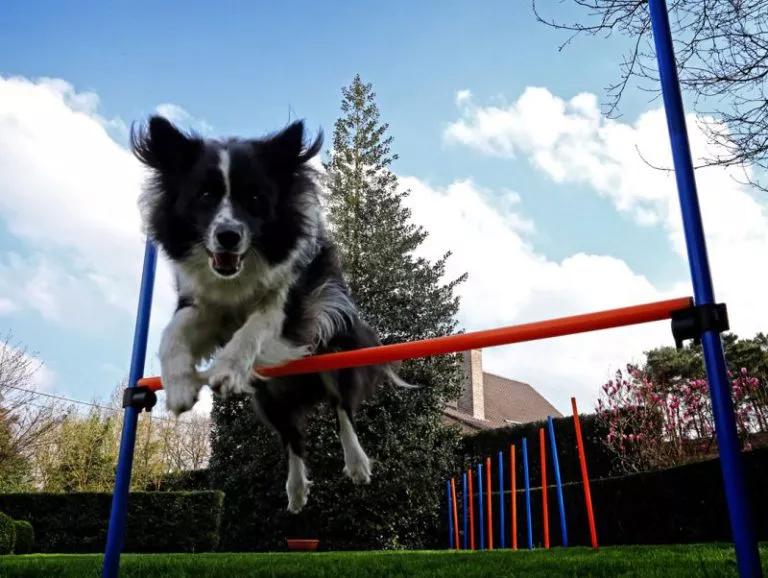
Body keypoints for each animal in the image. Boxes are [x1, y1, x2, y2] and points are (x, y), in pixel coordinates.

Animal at [134, 115, 420, 510]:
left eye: (255, 198)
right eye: (204, 195)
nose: (228, 236)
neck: (240, 272)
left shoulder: (293, 305)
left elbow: (255, 327)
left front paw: (226, 369)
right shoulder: (203, 304)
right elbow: (172, 334)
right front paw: (179, 386)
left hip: (338, 352)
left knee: (341, 406)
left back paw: (357, 463)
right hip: (267, 398)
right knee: (291, 438)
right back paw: (296, 491)